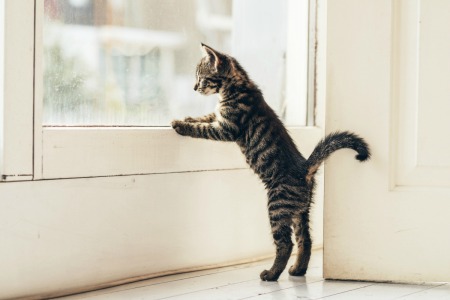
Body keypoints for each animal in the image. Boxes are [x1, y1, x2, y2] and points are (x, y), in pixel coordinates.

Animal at [171, 44, 370, 282]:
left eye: (201, 77)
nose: (194, 88)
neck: (237, 87)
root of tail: (305, 168)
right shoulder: (220, 118)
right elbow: (208, 116)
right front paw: (189, 117)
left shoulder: (227, 128)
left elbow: (203, 128)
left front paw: (182, 125)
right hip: (300, 211)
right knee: (305, 240)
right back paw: (298, 270)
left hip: (277, 206)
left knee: (285, 244)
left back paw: (272, 273)